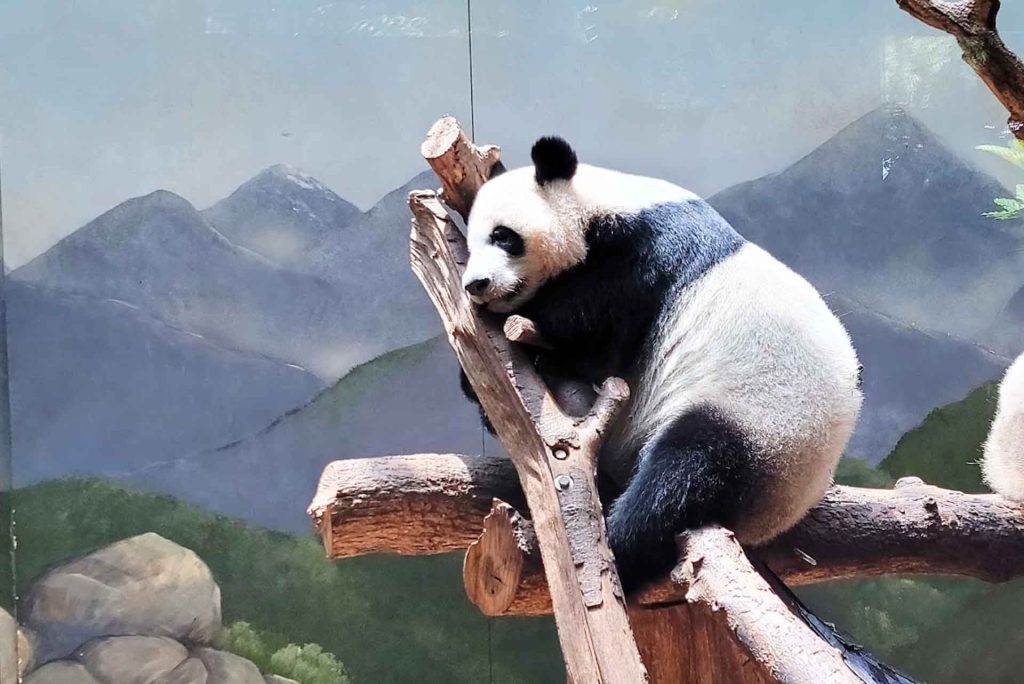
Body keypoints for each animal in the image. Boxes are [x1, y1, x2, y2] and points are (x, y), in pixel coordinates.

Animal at [458, 136, 863, 592]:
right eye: (472, 244)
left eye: (503, 236)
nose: (476, 285)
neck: (602, 205)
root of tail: (779, 511)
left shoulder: (646, 258)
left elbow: (596, 334)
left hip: (759, 422)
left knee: (682, 477)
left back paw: (618, 549)